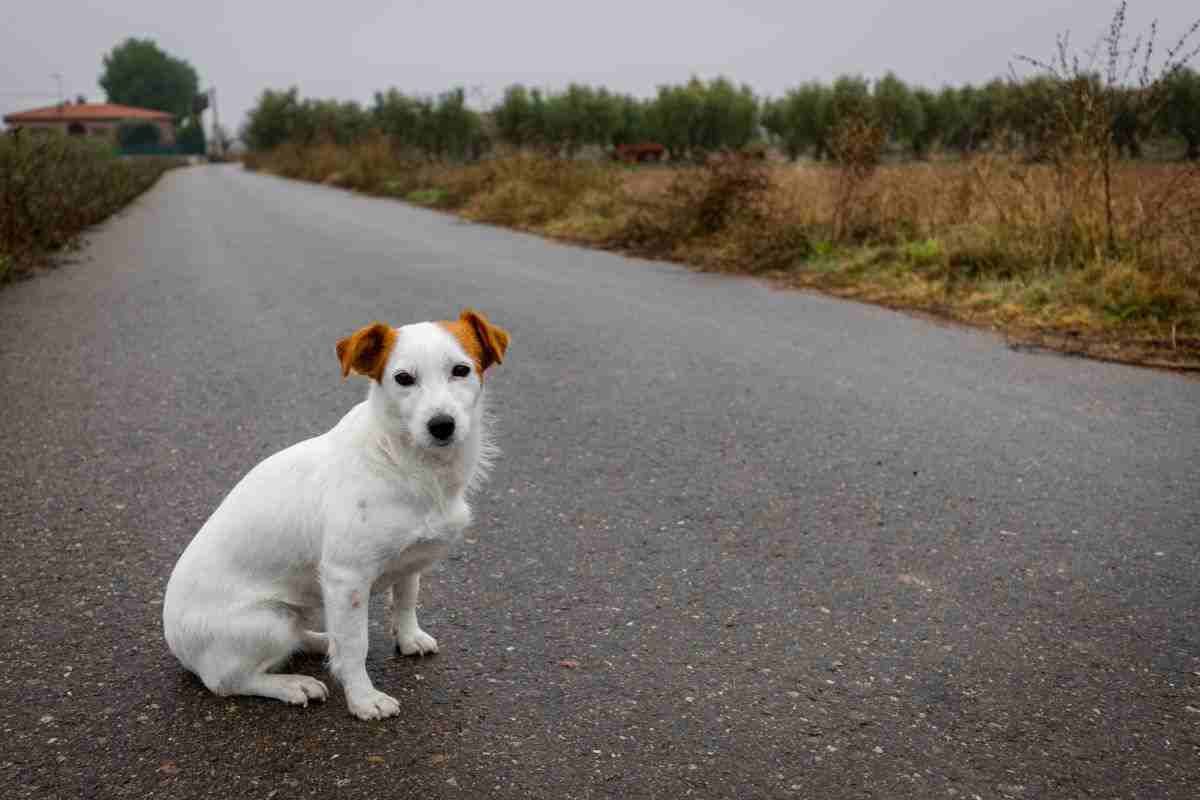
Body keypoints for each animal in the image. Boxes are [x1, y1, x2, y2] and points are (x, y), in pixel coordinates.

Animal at [162, 309, 508, 719]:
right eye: (403, 378)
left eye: (461, 370)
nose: (441, 425)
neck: (409, 464)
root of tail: (175, 641)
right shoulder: (347, 579)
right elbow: (356, 644)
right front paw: (363, 699)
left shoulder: (410, 561)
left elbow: (406, 600)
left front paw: (408, 638)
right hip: (270, 621)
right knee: (227, 681)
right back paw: (292, 684)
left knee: (308, 640)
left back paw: (319, 642)